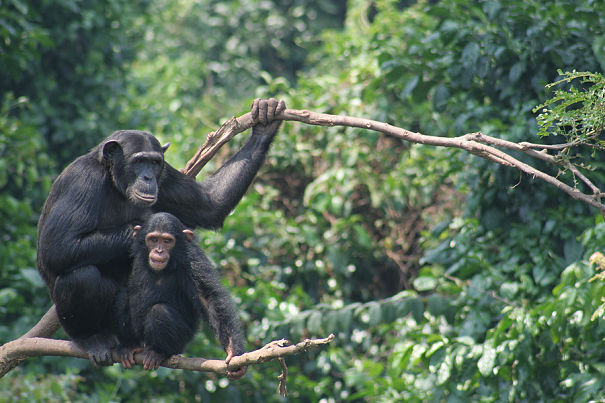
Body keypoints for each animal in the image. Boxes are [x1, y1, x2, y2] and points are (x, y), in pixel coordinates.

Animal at [115, 213, 248, 380]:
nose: (159, 250)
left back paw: (158, 352)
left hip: (180, 343)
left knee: (159, 311)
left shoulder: (192, 261)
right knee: (121, 298)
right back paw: (129, 346)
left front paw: (233, 350)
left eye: (167, 241)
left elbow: (208, 297)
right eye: (153, 239)